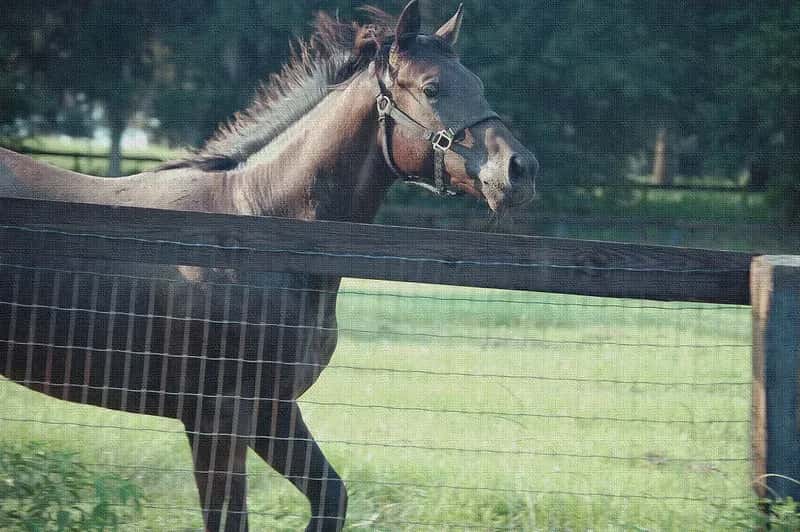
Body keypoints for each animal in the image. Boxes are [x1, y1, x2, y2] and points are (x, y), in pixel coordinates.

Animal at [0, 2, 537, 530]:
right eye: (431, 88)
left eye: (478, 85)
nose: (521, 170)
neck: (259, 226)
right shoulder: (215, 418)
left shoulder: (272, 411)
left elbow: (331, 498)